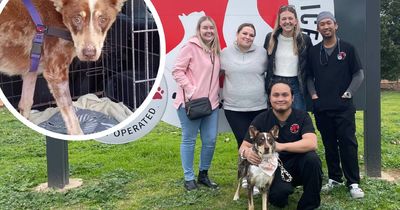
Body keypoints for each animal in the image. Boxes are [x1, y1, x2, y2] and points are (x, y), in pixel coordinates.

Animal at [0, 0, 126, 135]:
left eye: (103, 19)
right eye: (77, 19)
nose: (89, 53)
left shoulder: (31, 72)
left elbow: (26, 103)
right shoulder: (56, 72)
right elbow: (72, 117)